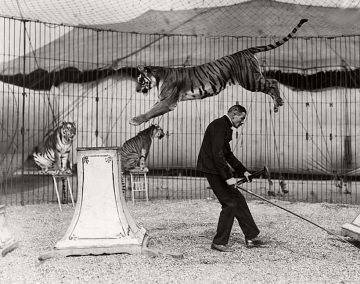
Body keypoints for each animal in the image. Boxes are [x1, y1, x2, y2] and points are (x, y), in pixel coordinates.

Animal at [131, 17, 308, 124]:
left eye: (140, 80)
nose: (137, 90)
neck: (158, 78)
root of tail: (245, 50)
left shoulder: (168, 101)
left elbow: (152, 111)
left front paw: (135, 120)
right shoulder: (163, 100)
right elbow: (152, 110)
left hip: (250, 80)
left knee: (274, 81)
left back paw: (279, 101)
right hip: (253, 79)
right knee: (270, 86)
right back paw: (277, 104)